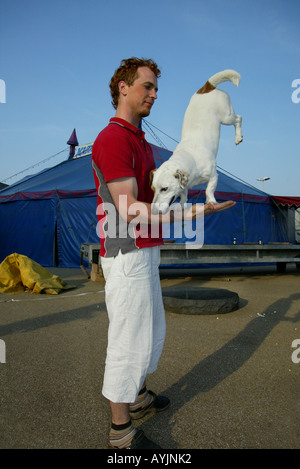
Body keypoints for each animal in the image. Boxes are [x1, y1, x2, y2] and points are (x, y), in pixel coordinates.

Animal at [151, 68, 243, 214]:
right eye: (153, 189)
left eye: (164, 189)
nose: (153, 212)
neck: (191, 158)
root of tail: (207, 87)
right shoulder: (185, 186)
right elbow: (184, 195)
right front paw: (182, 205)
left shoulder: (213, 175)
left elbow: (209, 189)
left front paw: (211, 201)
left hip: (226, 116)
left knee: (238, 118)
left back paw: (238, 137)